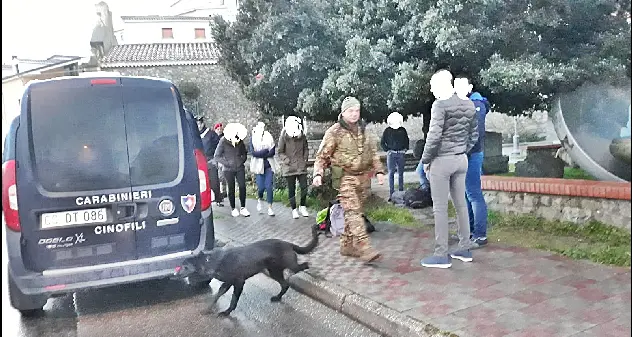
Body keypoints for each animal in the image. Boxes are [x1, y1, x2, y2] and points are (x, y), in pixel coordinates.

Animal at [174, 223, 318, 316]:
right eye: (181, 265)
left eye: (185, 266)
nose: (175, 274)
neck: (212, 262)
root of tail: (289, 244)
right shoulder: (227, 283)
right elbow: (217, 295)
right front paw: (208, 309)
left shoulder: (238, 282)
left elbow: (233, 300)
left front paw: (226, 312)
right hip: (274, 271)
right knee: (285, 284)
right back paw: (277, 297)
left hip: (286, 266)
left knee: (303, 265)